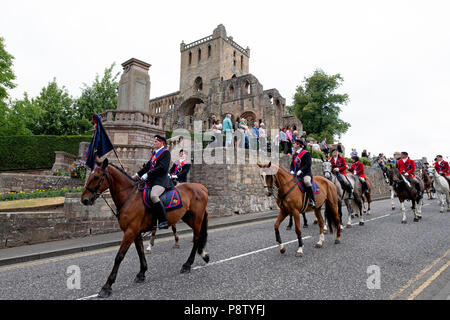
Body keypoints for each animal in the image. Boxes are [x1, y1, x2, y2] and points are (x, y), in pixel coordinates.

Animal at [81, 159, 211, 298]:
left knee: (196, 238)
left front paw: (107, 286)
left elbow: (119, 256)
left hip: (196, 219)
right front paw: (141, 273)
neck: (130, 197)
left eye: (96, 177)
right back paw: (202, 256)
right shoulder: (135, 232)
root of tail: (201, 187)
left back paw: (187, 264)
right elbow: (140, 251)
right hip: (188, 217)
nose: (84, 200)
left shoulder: (130, 232)